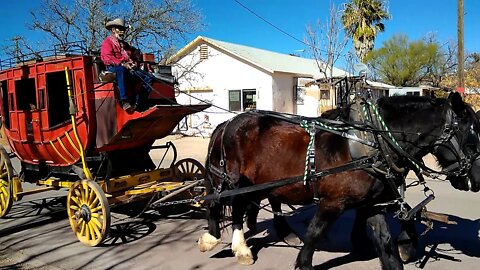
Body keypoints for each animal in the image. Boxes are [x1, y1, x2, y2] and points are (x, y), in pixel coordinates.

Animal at [196, 93, 480, 270]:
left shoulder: (373, 206)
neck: (372, 143)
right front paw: (304, 263)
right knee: (225, 203)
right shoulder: (332, 203)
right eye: (471, 137)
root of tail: (227, 122)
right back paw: (223, 240)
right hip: (232, 179)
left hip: (252, 182)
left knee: (242, 206)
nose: (477, 180)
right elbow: (314, 235)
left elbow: (386, 245)